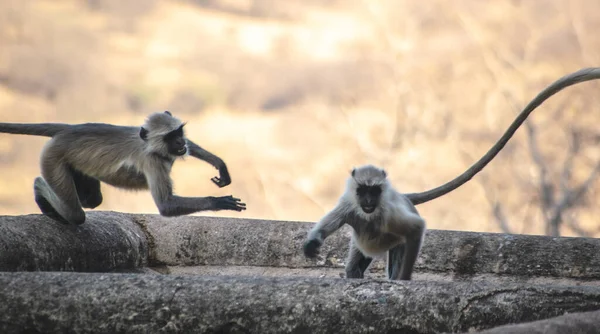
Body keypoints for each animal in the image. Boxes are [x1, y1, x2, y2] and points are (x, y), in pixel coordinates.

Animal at [0, 111, 246, 226]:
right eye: (170, 137)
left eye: (178, 133)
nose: (179, 142)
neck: (153, 147)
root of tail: (69, 129)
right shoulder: (151, 161)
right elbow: (167, 206)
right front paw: (219, 202)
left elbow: (191, 148)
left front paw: (219, 164)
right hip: (52, 157)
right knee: (75, 213)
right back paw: (39, 187)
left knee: (91, 200)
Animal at [302, 66, 600, 280]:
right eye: (363, 190)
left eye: (374, 191)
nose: (367, 202)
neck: (371, 212)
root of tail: (404, 195)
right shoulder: (349, 205)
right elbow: (328, 225)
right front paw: (312, 243)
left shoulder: (388, 215)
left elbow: (416, 230)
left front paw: (404, 281)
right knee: (355, 264)